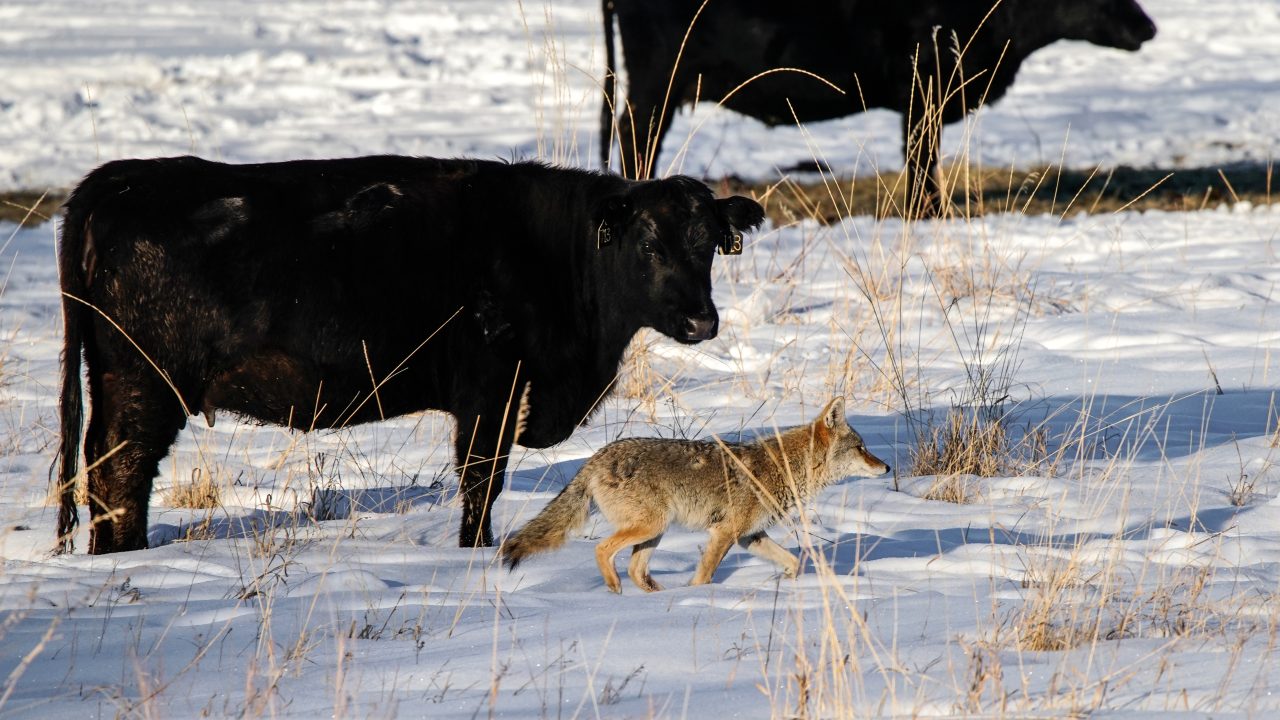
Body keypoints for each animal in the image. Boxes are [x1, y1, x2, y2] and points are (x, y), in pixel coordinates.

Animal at [55, 155, 765, 554]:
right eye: (648, 243)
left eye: (709, 243)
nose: (702, 321)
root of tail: (116, 181)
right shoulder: (492, 389)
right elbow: (481, 481)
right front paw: (474, 552)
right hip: (144, 383)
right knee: (119, 472)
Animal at [600, 0, 1157, 214]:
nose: (1148, 26)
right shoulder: (924, 89)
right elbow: (921, 156)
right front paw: (926, 212)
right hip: (656, 86)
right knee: (636, 138)